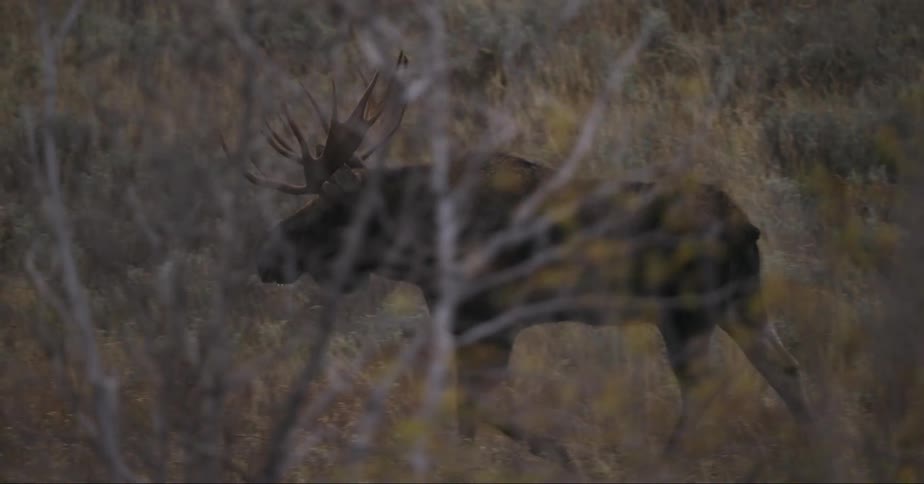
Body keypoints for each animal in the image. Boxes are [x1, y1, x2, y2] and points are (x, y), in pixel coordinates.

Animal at [223, 51, 814, 471]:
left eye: (326, 210)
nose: (266, 255)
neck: (421, 244)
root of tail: (746, 226)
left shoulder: (488, 319)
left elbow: (480, 408)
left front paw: (562, 454)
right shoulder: (467, 326)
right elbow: (467, 415)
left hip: (686, 312)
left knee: (705, 388)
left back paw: (669, 461)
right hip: (739, 302)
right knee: (785, 368)